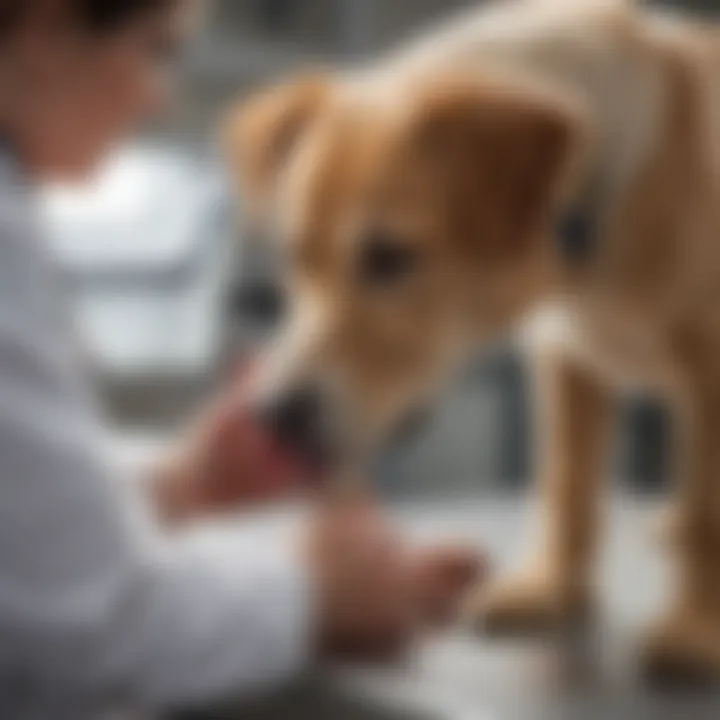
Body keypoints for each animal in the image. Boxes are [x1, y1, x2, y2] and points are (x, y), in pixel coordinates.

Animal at [225, 0, 720, 684]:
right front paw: (552, 587)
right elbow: (567, 485)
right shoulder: (564, 357)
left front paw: (699, 627)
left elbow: (707, 513)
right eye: (294, 257)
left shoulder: (709, 368)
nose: (275, 417)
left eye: (388, 257)